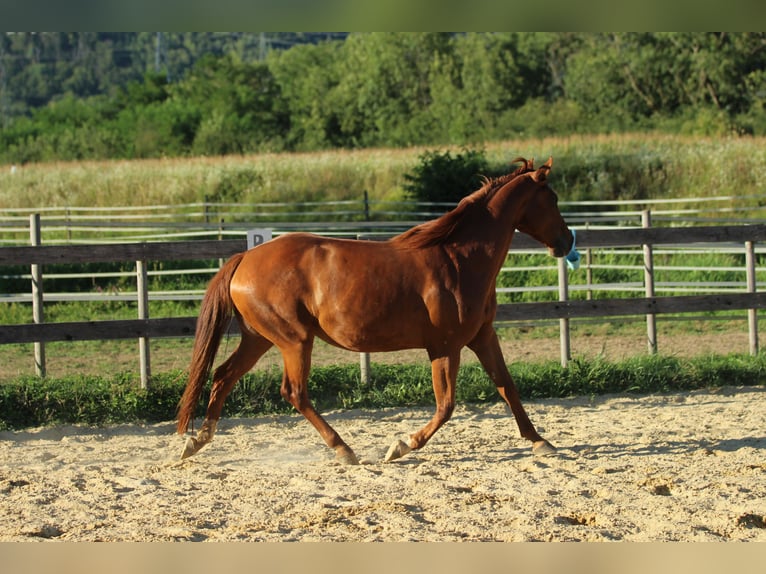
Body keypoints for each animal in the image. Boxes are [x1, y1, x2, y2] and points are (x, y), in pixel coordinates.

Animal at [178, 158, 576, 468]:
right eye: (552, 199)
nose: (567, 241)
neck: (459, 259)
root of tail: (245, 258)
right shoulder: (445, 346)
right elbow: (446, 405)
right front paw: (400, 446)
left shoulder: (482, 336)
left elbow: (507, 386)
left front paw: (540, 440)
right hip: (294, 340)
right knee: (294, 392)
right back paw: (344, 450)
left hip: (259, 338)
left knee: (223, 376)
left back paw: (195, 442)